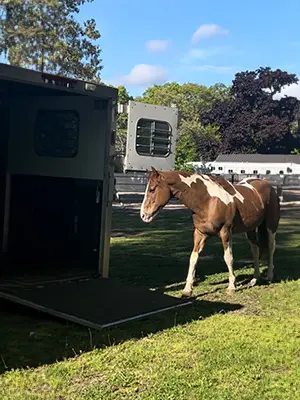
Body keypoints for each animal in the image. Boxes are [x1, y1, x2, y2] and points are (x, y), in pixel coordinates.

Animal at [139, 166, 280, 296]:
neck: (207, 200)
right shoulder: (200, 233)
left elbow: (228, 257)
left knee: (271, 248)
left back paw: (269, 276)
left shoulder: (225, 232)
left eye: (152, 189)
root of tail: (269, 186)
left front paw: (231, 287)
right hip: (250, 229)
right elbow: (193, 258)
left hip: (270, 227)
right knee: (255, 249)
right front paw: (187, 290)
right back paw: (255, 279)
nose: (143, 215)